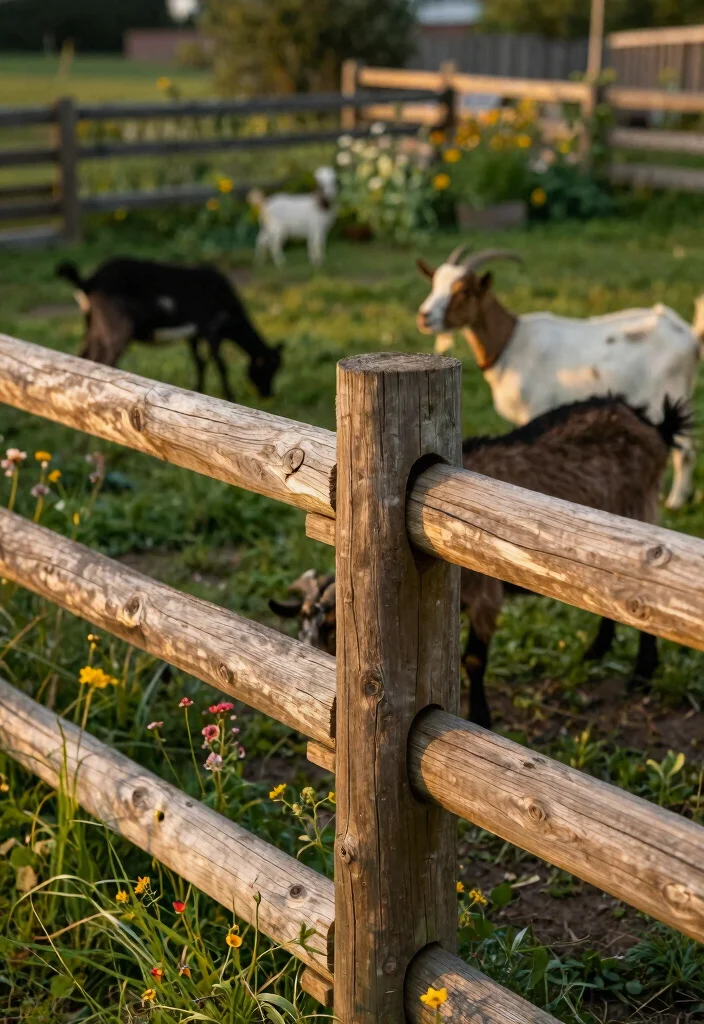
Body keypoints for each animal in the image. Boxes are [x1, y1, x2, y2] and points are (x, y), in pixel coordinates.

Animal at [55, 257, 283, 403]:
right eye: (269, 368)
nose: (268, 395)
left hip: (93, 327)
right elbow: (220, 364)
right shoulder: (210, 328)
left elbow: (200, 362)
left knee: (84, 357)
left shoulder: (193, 334)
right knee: (103, 360)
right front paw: (230, 397)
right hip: (116, 329)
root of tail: (88, 282)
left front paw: (198, 389)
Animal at [269, 396, 688, 729]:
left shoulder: (486, 595)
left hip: (640, 515)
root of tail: (652, 424)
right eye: (300, 633)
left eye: (332, 633)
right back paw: (597, 651)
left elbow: (473, 659)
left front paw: (481, 717)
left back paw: (642, 672)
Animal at [417, 245, 700, 509]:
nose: (424, 317)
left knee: (685, 451)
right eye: (434, 284)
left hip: (670, 393)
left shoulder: (535, 408)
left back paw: (676, 500)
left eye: (464, 291)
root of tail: (689, 335)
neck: (510, 343)